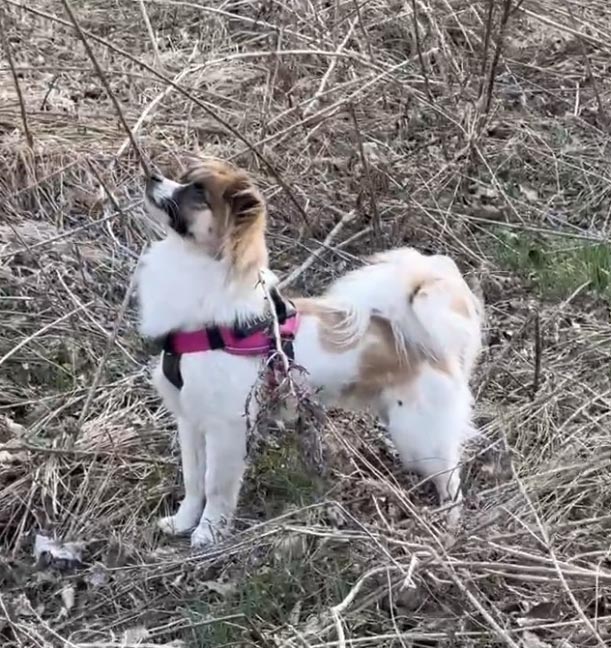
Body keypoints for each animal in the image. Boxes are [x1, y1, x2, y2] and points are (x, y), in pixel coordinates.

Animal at [137, 158, 482, 548]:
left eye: (196, 192)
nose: (151, 176)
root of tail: (429, 343)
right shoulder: (190, 419)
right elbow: (194, 481)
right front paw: (183, 522)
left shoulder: (226, 427)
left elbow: (215, 486)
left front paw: (208, 532)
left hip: (420, 435)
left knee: (452, 482)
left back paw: (449, 527)